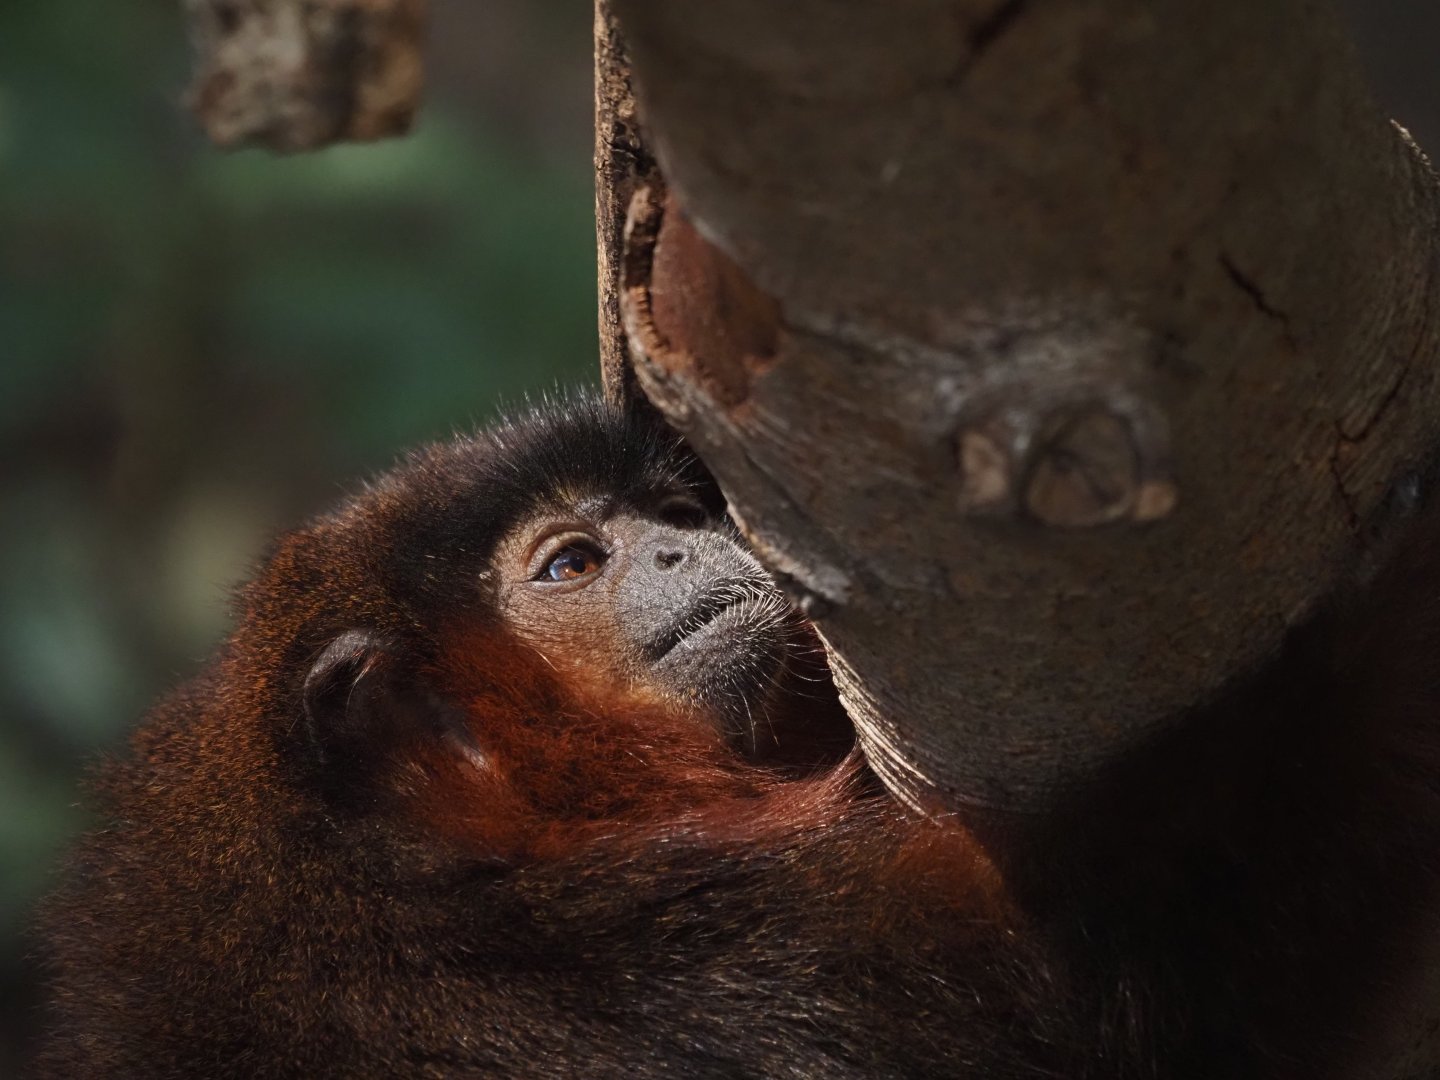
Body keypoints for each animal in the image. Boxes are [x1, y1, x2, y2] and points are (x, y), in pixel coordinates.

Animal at [30, 392, 1440, 1078]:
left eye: (671, 513)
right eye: (574, 562)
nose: (689, 543)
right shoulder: (636, 972)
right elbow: (1127, 979)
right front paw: (1404, 597)